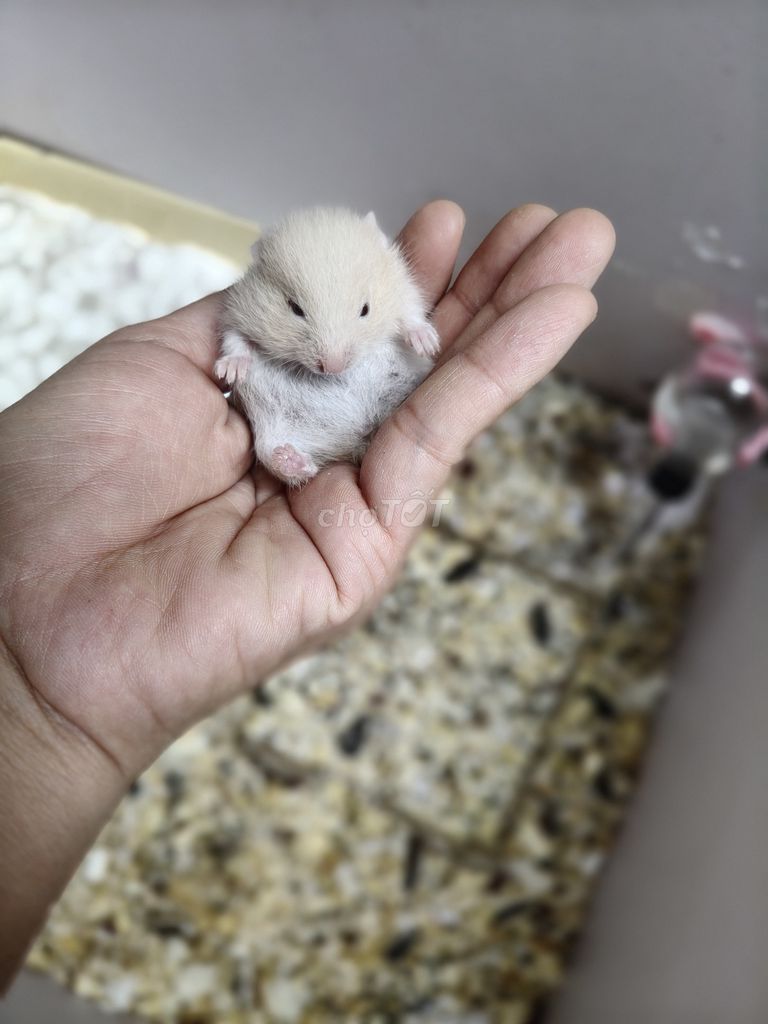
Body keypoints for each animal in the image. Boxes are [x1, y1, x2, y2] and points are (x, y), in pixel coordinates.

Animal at [216, 207, 439, 486]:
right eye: (295, 308)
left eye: (365, 309)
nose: (332, 368)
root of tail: (355, 436)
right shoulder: (238, 312)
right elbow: (235, 340)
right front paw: (229, 372)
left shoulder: (404, 292)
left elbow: (411, 317)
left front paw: (429, 345)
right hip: (273, 426)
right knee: (273, 455)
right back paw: (290, 460)